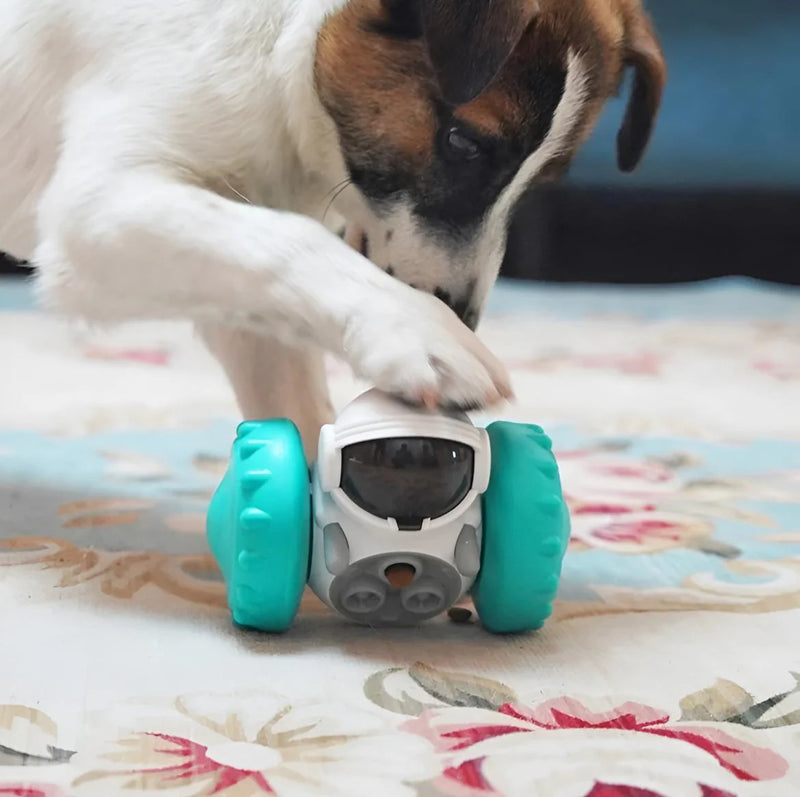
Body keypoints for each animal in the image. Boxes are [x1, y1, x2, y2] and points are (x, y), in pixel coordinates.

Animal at [0, 0, 664, 454]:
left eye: (543, 180)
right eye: (461, 142)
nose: (463, 316)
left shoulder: (235, 284)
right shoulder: (96, 208)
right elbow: (293, 243)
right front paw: (421, 330)